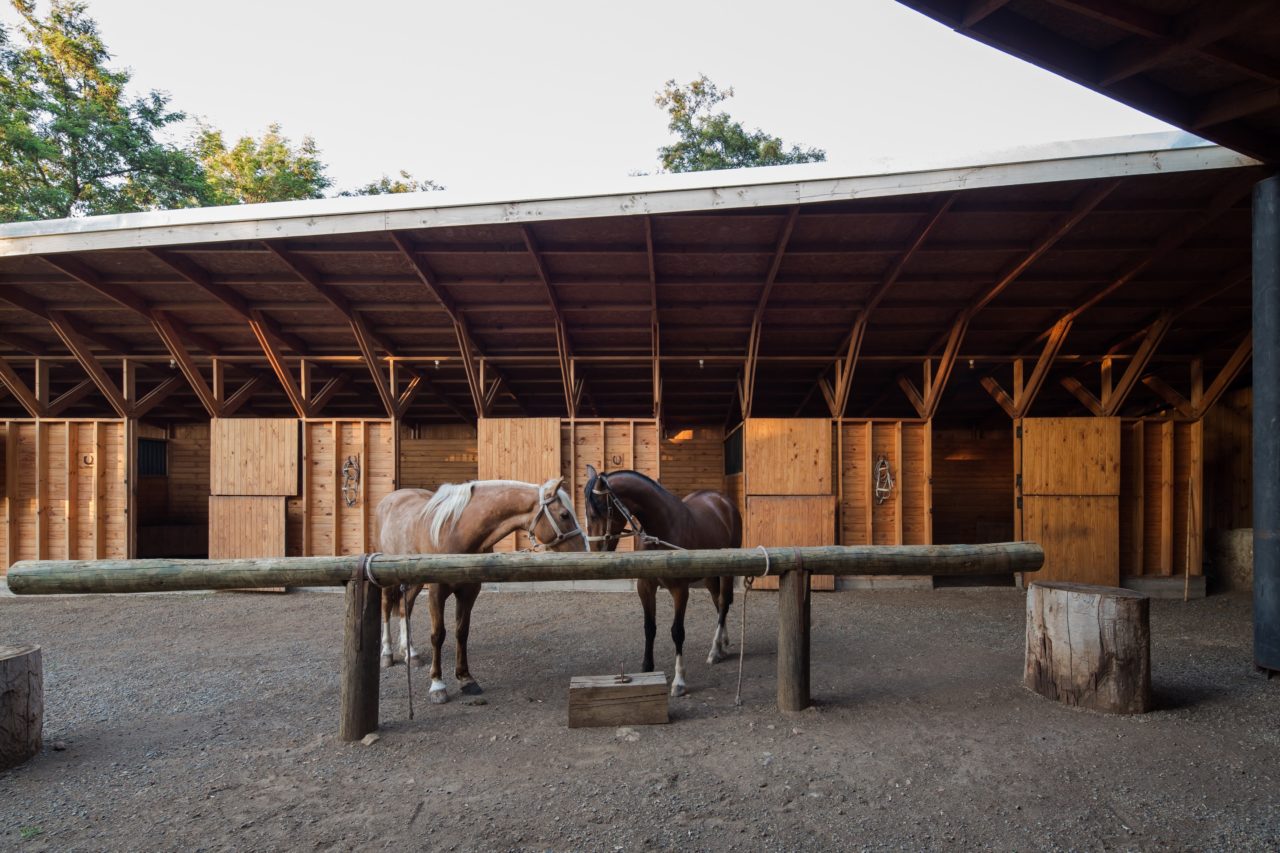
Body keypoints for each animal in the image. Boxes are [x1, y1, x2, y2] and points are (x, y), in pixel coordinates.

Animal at [373, 473, 586, 701]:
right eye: (564, 515)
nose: (584, 548)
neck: (455, 531)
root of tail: (390, 500)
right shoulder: (436, 592)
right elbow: (438, 635)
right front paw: (437, 685)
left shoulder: (469, 591)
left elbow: (462, 632)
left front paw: (466, 679)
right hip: (387, 576)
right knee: (386, 608)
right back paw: (387, 654)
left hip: (414, 579)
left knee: (406, 609)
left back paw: (410, 652)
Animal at [581, 461, 742, 696]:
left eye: (599, 510)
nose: (595, 551)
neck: (662, 528)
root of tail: (723, 501)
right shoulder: (645, 586)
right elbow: (649, 627)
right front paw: (647, 669)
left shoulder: (680, 590)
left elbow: (677, 632)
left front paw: (679, 681)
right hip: (710, 575)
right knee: (718, 602)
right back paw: (721, 646)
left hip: (728, 570)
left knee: (723, 604)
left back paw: (714, 650)